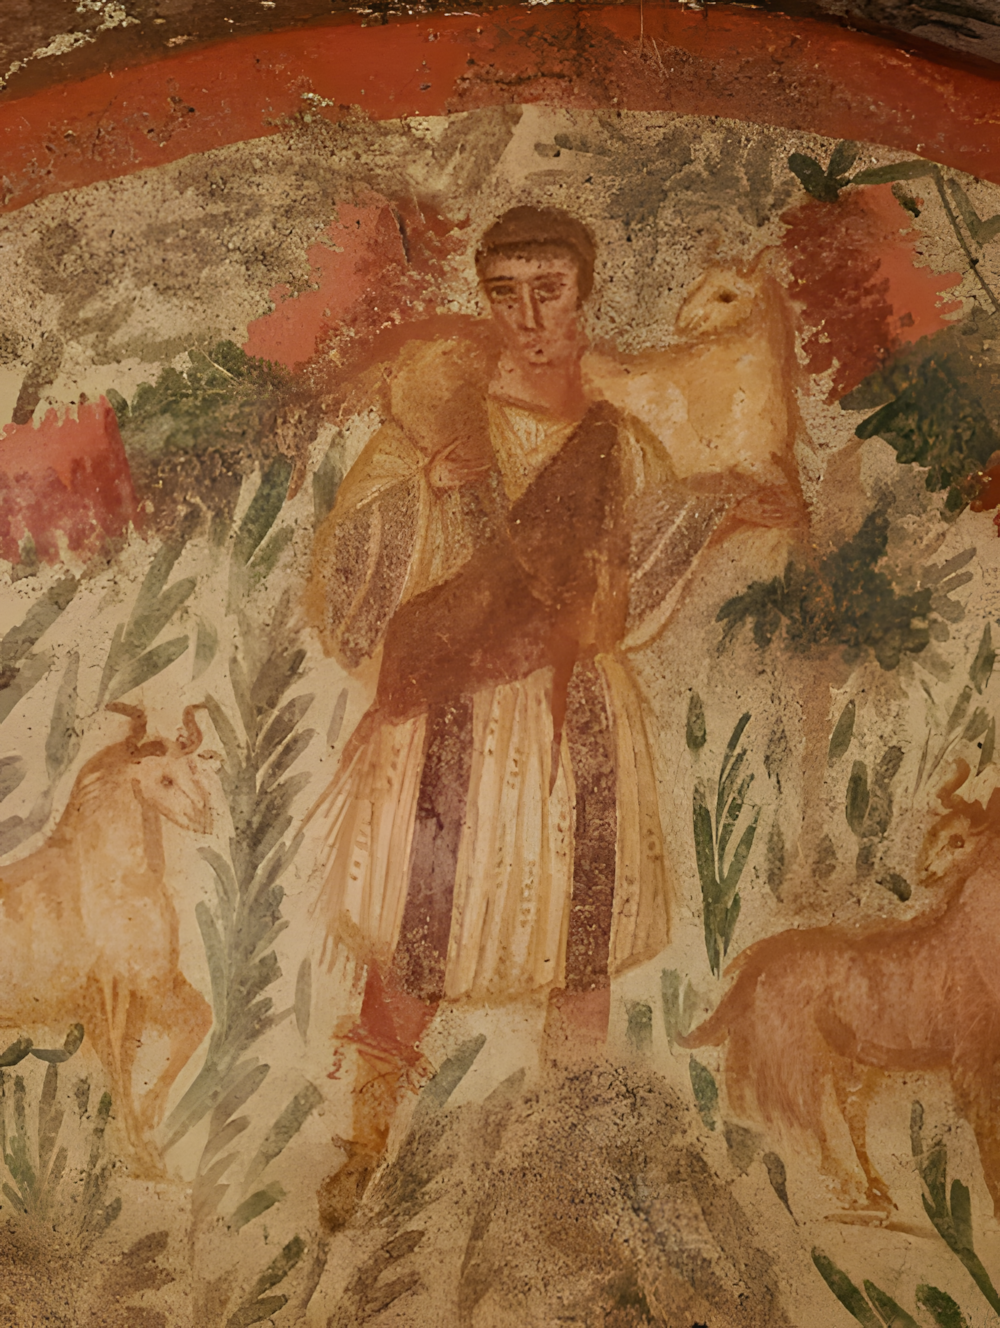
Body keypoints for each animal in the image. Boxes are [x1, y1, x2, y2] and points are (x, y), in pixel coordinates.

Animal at [0, 702, 214, 1174]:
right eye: (164, 779)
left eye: (192, 768)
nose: (205, 818)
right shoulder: (106, 991)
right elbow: (116, 1064)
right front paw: (138, 1150)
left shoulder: (152, 989)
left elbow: (197, 1021)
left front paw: (148, 1128)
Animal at [681, 760, 1000, 1217]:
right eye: (937, 833)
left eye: (959, 839)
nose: (924, 871)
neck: (969, 939)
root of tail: (754, 963)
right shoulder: (970, 1061)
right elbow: (988, 1138)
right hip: (794, 1057)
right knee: (797, 1118)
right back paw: (848, 1185)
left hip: (840, 1062)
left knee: (835, 1115)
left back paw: (874, 1188)